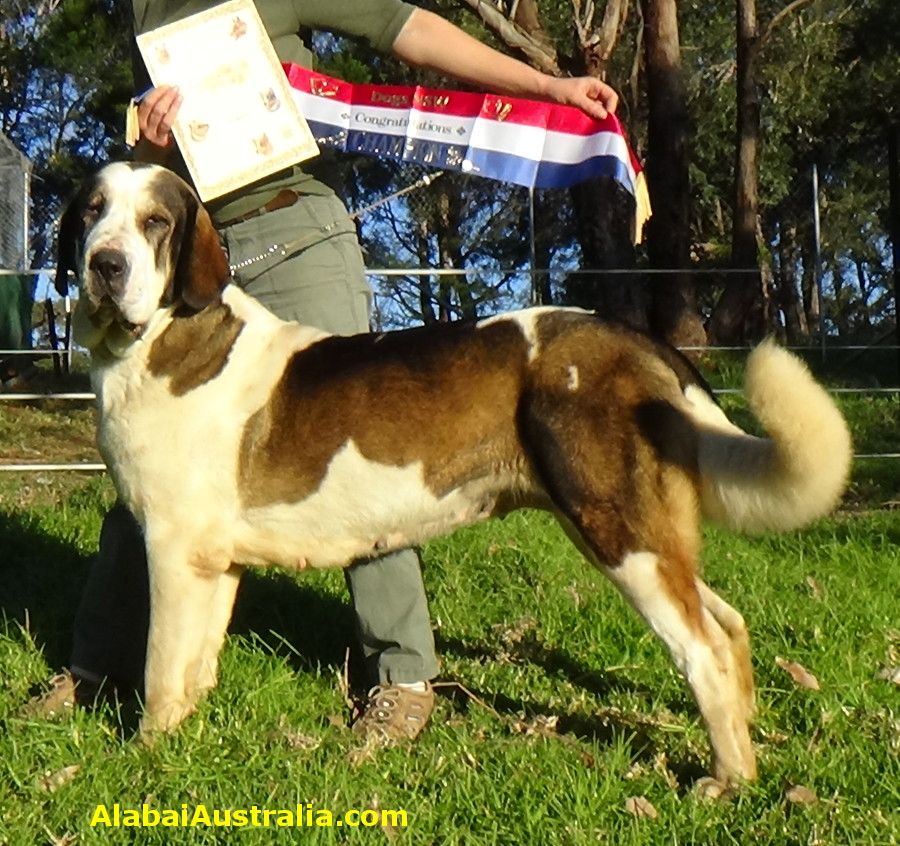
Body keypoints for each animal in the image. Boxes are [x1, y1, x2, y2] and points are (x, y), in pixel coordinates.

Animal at [54, 164, 852, 796]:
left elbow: (160, 669)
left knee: (704, 649)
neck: (162, 338)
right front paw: (184, 746)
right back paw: (746, 739)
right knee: (728, 623)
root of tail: (639, 341)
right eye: (92, 212)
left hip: (618, 529)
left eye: (155, 222)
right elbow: (192, 670)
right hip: (640, 533)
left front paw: (146, 759)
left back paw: (728, 781)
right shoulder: (212, 564)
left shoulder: (173, 551)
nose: (105, 264)